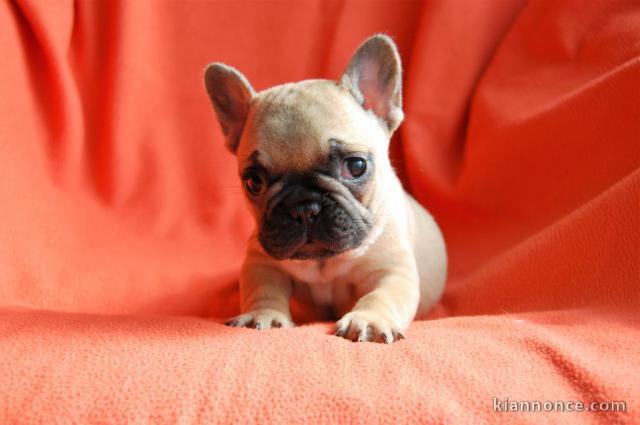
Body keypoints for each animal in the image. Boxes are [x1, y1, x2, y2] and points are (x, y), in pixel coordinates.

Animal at [204, 34, 444, 342]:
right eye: (253, 181)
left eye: (356, 166)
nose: (304, 207)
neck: (323, 264)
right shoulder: (263, 263)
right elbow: (263, 290)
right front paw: (263, 315)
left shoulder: (391, 270)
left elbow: (382, 295)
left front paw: (369, 320)